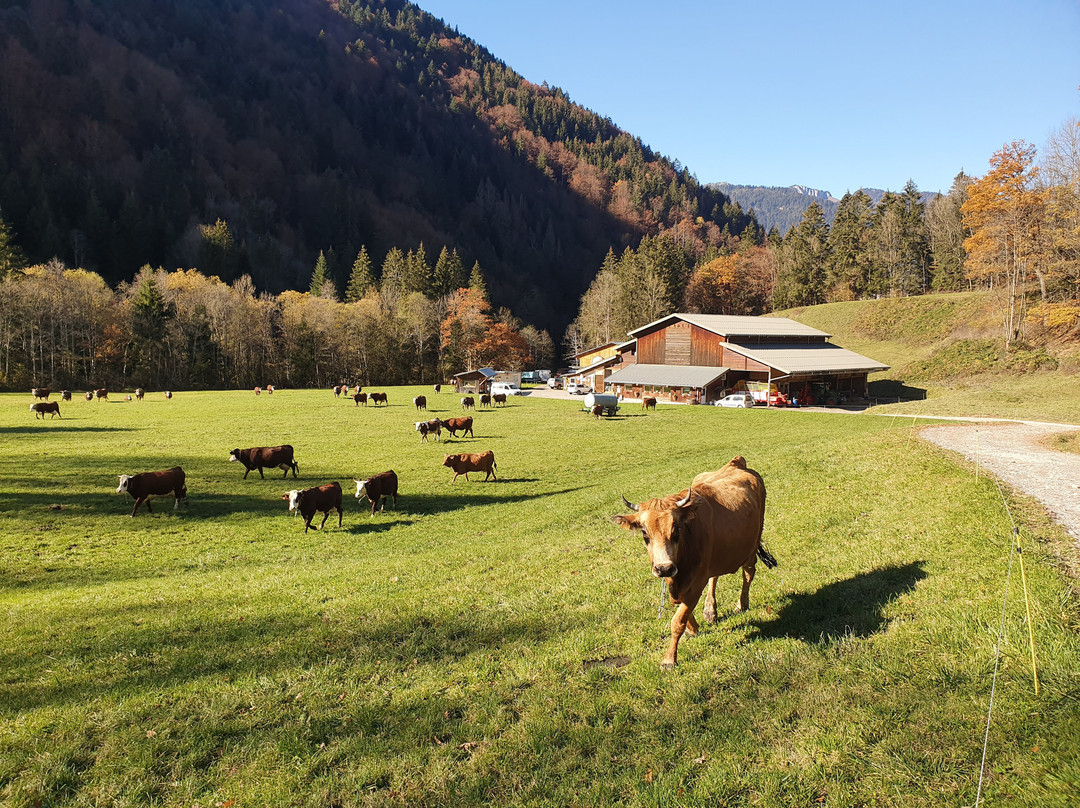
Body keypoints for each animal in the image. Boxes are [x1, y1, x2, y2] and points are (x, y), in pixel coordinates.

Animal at [613, 453, 773, 669]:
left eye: (676, 529)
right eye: (645, 533)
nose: (663, 568)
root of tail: (736, 463)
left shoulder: (696, 582)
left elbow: (678, 620)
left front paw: (669, 659)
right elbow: (681, 606)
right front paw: (694, 626)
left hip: (752, 546)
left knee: (748, 574)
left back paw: (742, 604)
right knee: (715, 577)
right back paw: (710, 610)